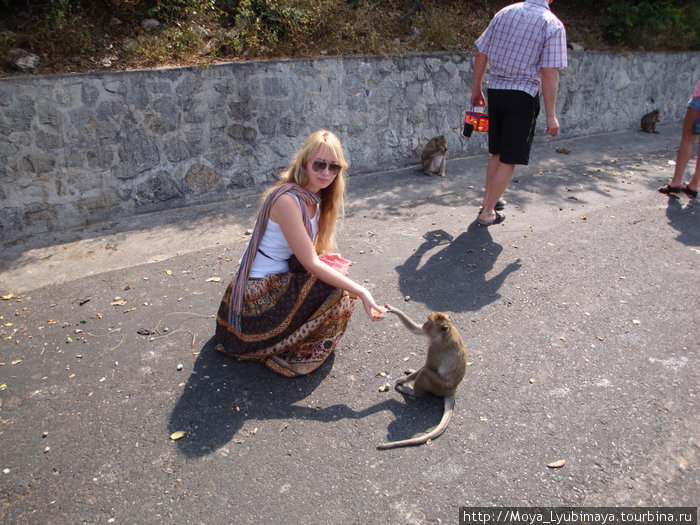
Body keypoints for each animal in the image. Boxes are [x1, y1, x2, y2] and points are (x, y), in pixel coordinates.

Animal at [374, 304, 468, 448]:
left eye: (429, 322)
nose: (424, 324)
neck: (445, 334)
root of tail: (452, 390)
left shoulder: (436, 349)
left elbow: (427, 367)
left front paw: (402, 380)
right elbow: (416, 329)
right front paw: (392, 309)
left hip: (439, 386)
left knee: (425, 372)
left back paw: (412, 391)